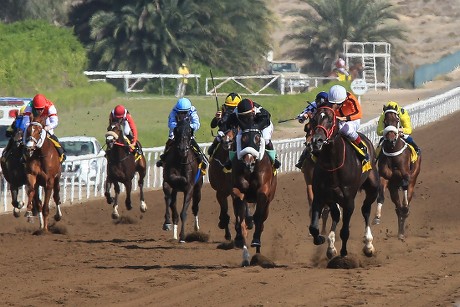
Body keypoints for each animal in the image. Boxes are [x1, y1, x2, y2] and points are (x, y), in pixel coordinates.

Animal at [163, 115, 204, 243]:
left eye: (189, 130)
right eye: (176, 130)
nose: (182, 149)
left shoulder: (190, 188)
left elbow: (183, 213)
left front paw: (182, 237)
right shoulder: (167, 181)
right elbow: (169, 198)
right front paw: (167, 223)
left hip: (198, 189)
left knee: (195, 207)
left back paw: (196, 227)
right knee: (172, 204)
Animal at [230, 125, 276, 268]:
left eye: (257, 138)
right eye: (243, 139)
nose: (248, 163)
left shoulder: (263, 192)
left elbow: (258, 218)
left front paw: (255, 240)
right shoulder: (238, 190)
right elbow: (242, 222)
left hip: (268, 203)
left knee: (261, 224)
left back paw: (258, 253)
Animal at [308, 106, 380, 262]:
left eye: (330, 120)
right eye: (314, 119)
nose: (317, 140)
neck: (332, 164)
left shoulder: (348, 200)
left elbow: (345, 230)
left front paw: (344, 253)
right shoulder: (320, 196)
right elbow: (314, 227)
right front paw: (321, 239)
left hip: (373, 188)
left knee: (365, 210)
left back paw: (368, 245)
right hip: (332, 198)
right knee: (336, 215)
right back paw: (330, 247)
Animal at [372, 107, 422, 241]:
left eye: (397, 120)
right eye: (385, 121)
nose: (390, 138)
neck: (392, 151)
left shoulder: (406, 175)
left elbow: (405, 183)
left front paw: (406, 207)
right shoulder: (385, 178)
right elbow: (380, 196)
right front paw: (377, 217)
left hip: (413, 180)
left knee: (406, 200)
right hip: (393, 188)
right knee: (398, 208)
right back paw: (400, 231)